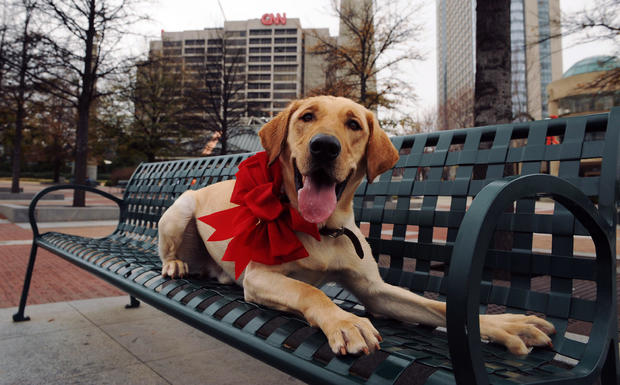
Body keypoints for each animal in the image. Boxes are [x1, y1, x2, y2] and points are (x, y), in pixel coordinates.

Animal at [157, 94, 556, 356]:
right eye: (306, 117)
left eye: (353, 124)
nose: (324, 146)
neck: (323, 229)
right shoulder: (258, 276)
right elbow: (310, 291)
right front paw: (346, 322)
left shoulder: (374, 290)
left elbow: (434, 306)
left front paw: (504, 325)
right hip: (180, 210)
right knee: (171, 250)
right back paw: (175, 264)